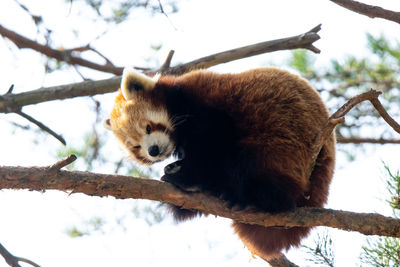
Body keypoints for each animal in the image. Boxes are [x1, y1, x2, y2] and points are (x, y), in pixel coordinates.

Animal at [106, 67, 334, 262]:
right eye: (136, 147)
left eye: (148, 127)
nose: (153, 150)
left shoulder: (207, 106)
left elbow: (214, 142)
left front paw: (188, 175)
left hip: (281, 146)